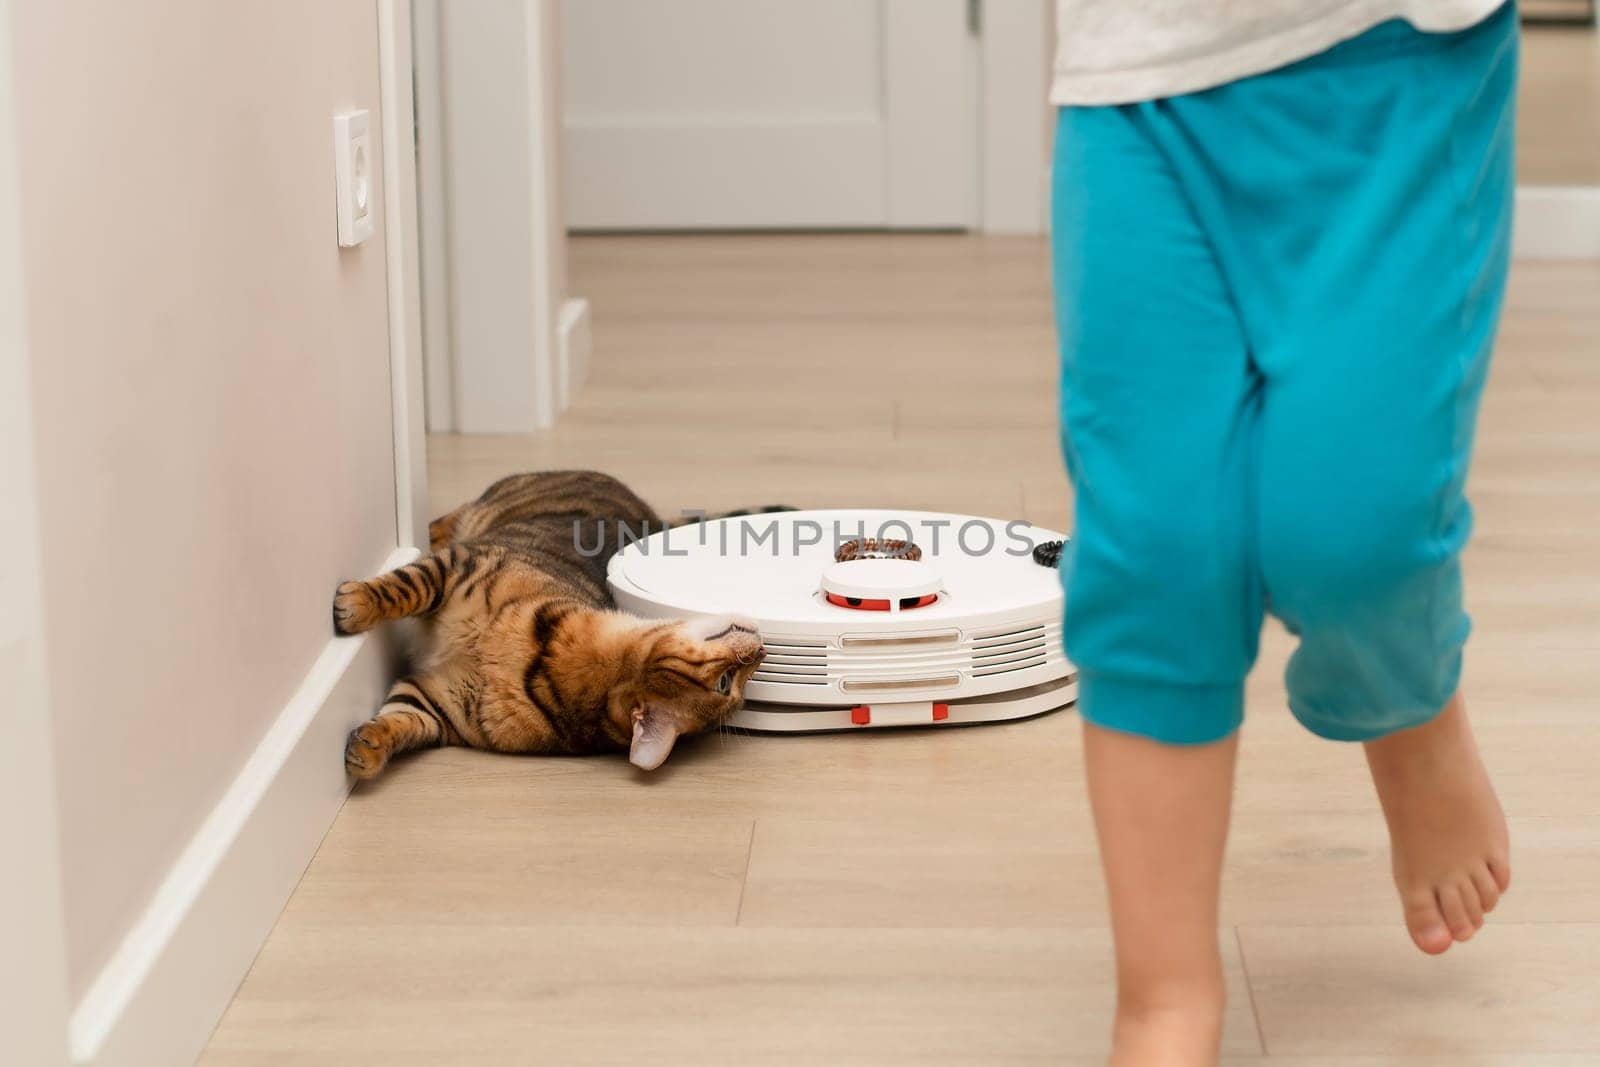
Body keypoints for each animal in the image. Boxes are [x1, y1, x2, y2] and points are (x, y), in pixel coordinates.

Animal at [331, 470, 774, 780]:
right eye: (726, 682)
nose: (762, 651)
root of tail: (652, 517)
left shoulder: (439, 703)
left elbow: (402, 718)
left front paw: (368, 749)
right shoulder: (464, 566)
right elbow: (404, 586)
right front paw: (357, 604)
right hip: (491, 509)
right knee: (450, 520)